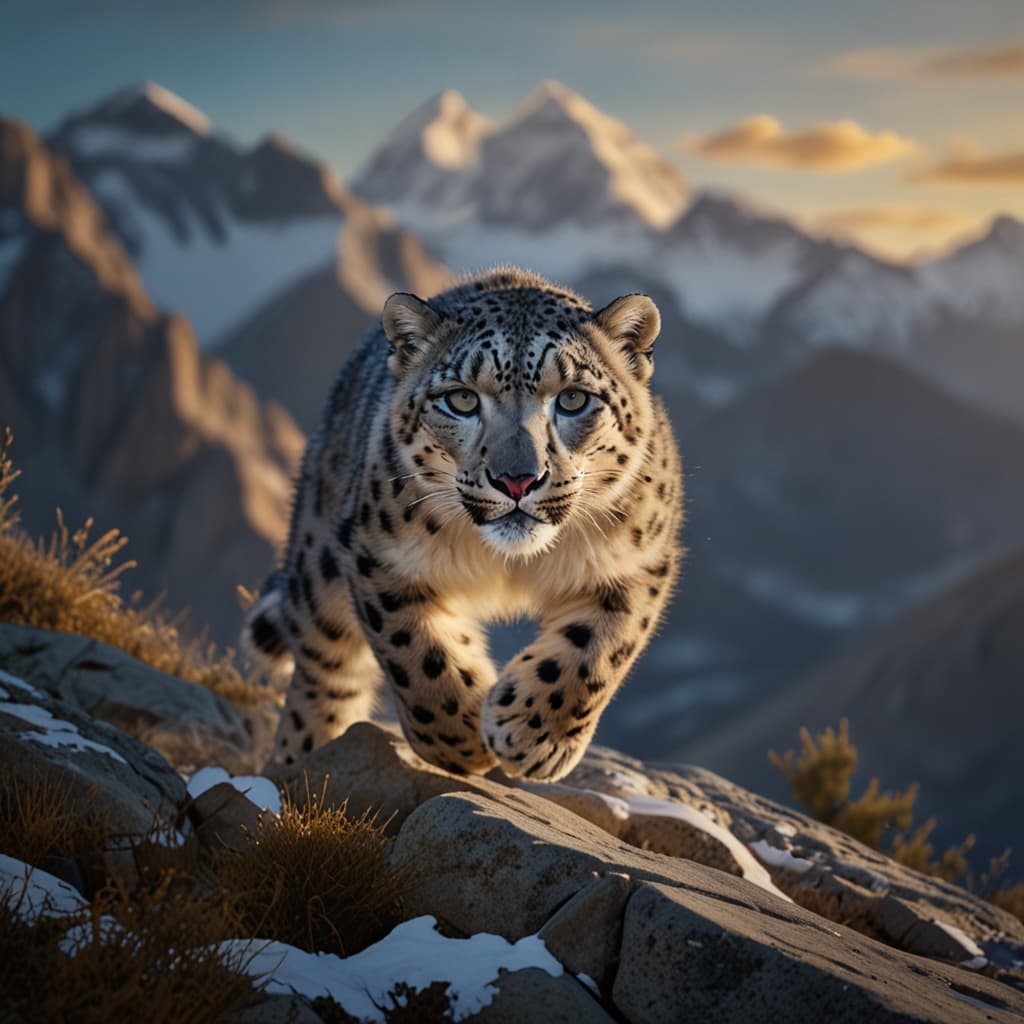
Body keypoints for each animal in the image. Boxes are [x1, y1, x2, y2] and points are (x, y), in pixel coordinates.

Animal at [244, 266, 683, 782]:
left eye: (574, 399)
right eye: (461, 399)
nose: (517, 480)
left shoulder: (635, 562)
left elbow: (596, 653)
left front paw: (531, 736)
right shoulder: (384, 560)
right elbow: (416, 653)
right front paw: (463, 738)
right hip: (318, 574)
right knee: (327, 674)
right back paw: (295, 765)